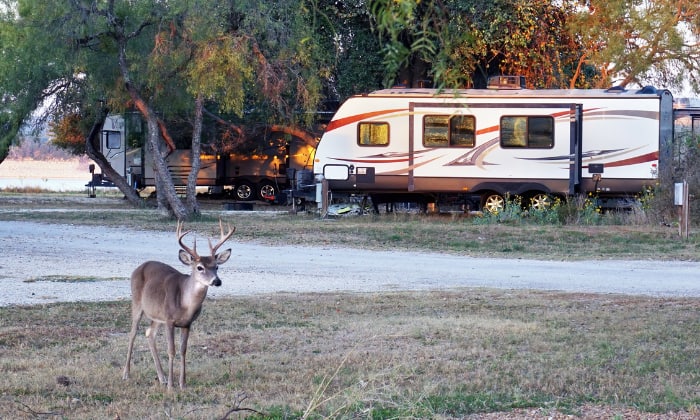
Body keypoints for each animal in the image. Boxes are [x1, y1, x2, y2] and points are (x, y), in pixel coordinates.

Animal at [123, 220, 235, 390]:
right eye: (200, 267)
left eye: (216, 266)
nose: (217, 281)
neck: (185, 305)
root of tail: (139, 267)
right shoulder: (170, 320)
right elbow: (171, 350)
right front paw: (171, 385)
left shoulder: (187, 323)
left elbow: (183, 350)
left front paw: (182, 383)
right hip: (137, 302)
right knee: (132, 333)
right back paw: (126, 374)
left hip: (157, 315)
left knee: (149, 333)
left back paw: (161, 377)